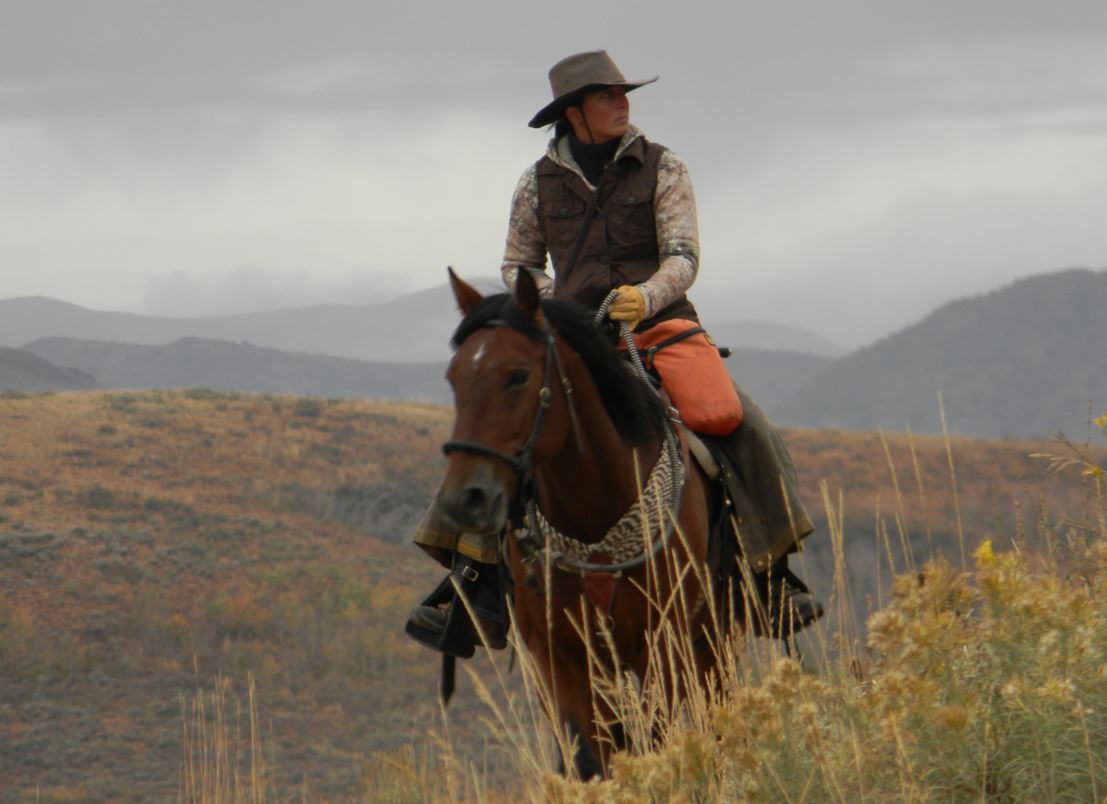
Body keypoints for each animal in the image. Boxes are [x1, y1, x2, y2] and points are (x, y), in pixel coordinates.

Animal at [433, 268, 739, 778]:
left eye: (518, 376)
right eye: (454, 379)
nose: (465, 499)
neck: (594, 517)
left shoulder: (664, 644)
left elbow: (656, 741)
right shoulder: (557, 657)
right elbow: (590, 759)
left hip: (715, 635)